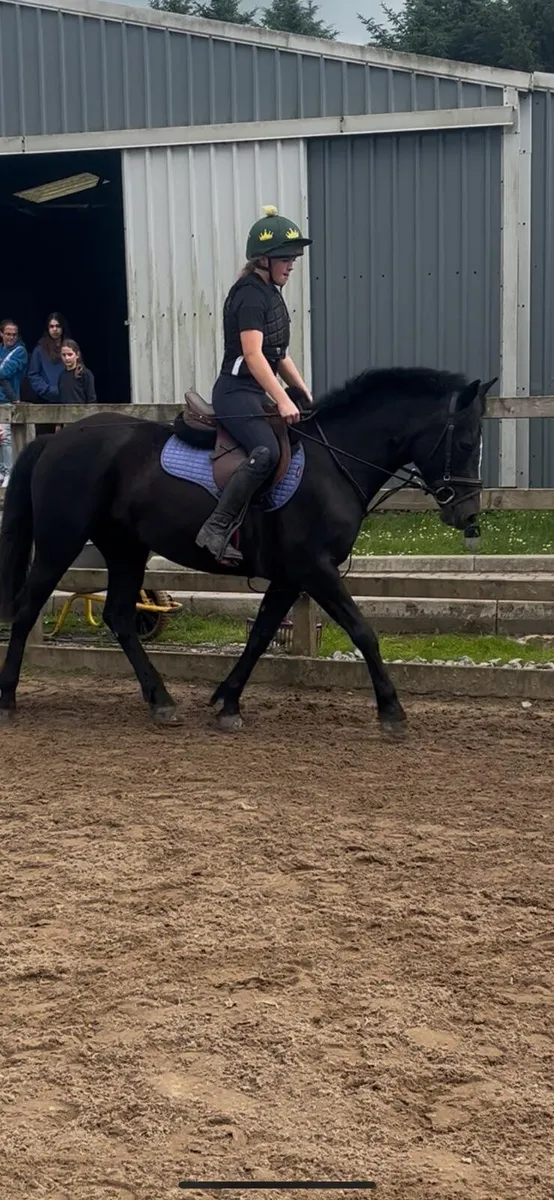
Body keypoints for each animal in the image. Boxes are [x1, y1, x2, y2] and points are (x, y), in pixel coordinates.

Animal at [0, 366, 495, 736]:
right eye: (466, 442)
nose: (468, 515)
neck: (333, 462)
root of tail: (56, 438)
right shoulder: (315, 570)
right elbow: (362, 631)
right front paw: (392, 711)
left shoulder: (290, 576)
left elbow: (260, 636)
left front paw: (228, 702)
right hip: (60, 543)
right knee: (26, 608)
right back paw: (8, 698)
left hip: (125, 549)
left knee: (120, 617)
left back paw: (161, 702)